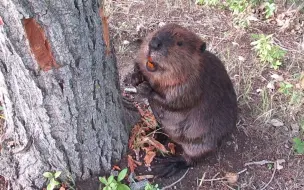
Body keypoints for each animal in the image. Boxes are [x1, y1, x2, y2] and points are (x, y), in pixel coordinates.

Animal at [131, 23, 238, 177]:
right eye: (157, 32)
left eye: (179, 43)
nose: (154, 43)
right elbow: (138, 64)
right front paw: (135, 77)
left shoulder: (192, 84)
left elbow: (175, 102)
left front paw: (145, 88)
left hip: (202, 143)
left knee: (192, 159)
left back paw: (167, 164)